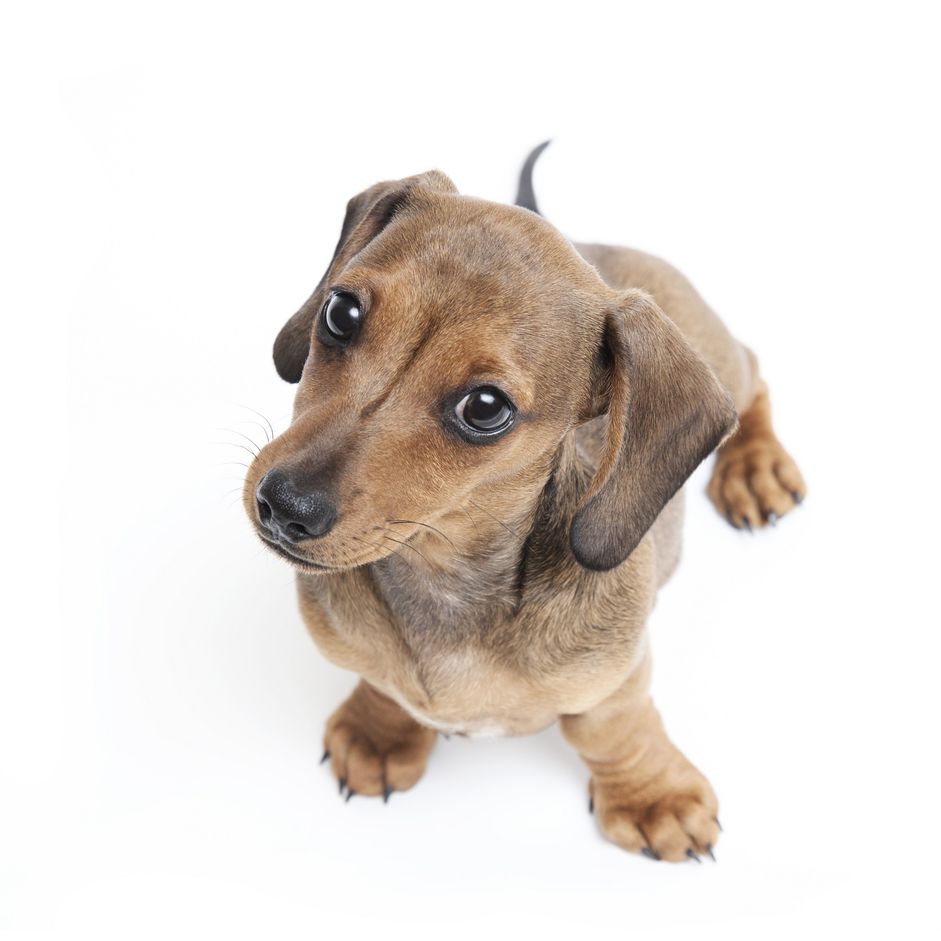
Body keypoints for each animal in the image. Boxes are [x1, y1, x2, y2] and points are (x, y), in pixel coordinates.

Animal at [244, 145, 808, 860]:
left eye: (486, 408)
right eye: (340, 313)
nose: (284, 504)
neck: (443, 580)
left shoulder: (618, 676)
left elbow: (615, 729)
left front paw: (653, 796)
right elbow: (383, 684)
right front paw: (380, 731)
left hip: (730, 367)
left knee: (756, 376)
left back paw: (755, 468)